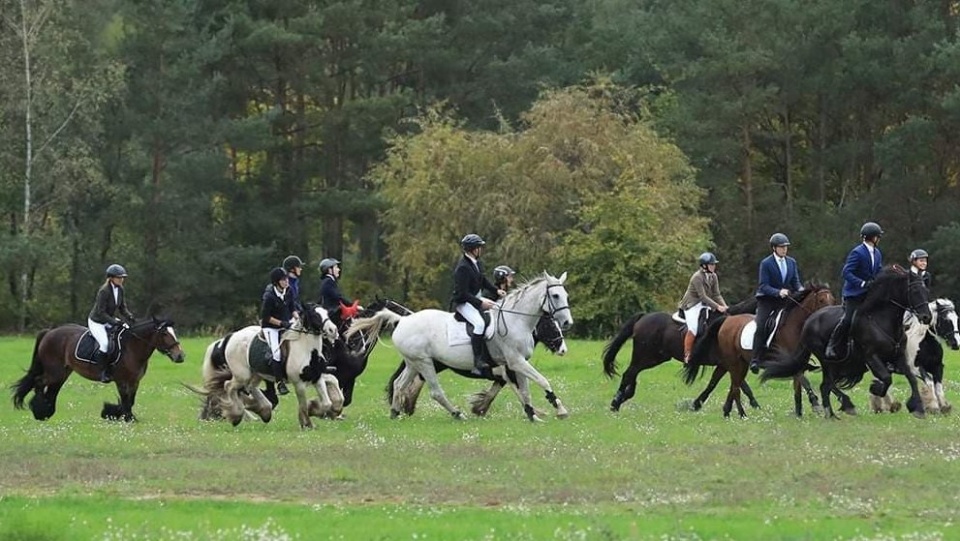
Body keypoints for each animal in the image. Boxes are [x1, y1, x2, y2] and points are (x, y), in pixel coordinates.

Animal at [12, 316, 184, 422]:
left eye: (173, 332)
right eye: (164, 333)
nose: (180, 356)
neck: (132, 347)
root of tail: (50, 331)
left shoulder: (134, 381)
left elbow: (131, 400)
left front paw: (114, 413)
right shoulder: (122, 381)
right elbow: (126, 400)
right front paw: (127, 418)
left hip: (62, 372)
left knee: (52, 389)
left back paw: (46, 412)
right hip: (54, 371)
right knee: (39, 382)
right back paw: (39, 411)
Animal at [199, 304, 342, 426]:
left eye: (327, 313)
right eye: (314, 315)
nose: (333, 330)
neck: (307, 349)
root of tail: (231, 337)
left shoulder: (317, 377)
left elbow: (327, 402)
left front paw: (315, 409)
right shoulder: (299, 383)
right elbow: (302, 405)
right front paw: (307, 423)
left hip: (256, 374)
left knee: (250, 387)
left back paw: (264, 411)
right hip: (242, 375)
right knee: (229, 386)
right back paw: (237, 415)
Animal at [346, 272, 568, 420]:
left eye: (565, 295)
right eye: (555, 296)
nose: (567, 323)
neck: (515, 321)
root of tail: (403, 320)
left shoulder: (515, 365)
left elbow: (524, 390)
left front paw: (533, 414)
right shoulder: (514, 363)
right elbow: (538, 382)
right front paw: (558, 409)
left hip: (414, 362)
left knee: (400, 384)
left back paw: (396, 411)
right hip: (425, 362)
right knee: (434, 391)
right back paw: (456, 413)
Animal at [684, 282, 840, 418]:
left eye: (833, 299)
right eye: (821, 300)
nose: (831, 321)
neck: (793, 328)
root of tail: (727, 320)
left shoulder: (798, 363)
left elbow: (798, 387)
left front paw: (799, 413)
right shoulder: (788, 363)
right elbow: (804, 381)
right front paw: (815, 403)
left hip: (735, 363)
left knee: (725, 381)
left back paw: (725, 410)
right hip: (734, 362)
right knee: (734, 385)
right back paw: (740, 414)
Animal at [764, 266, 928, 418]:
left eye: (925, 290)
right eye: (914, 291)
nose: (926, 317)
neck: (881, 320)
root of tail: (808, 321)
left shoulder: (899, 356)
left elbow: (912, 378)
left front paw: (918, 408)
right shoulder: (871, 357)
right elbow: (887, 378)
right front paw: (875, 388)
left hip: (835, 365)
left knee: (826, 386)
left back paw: (832, 413)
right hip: (827, 361)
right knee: (826, 385)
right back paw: (840, 409)